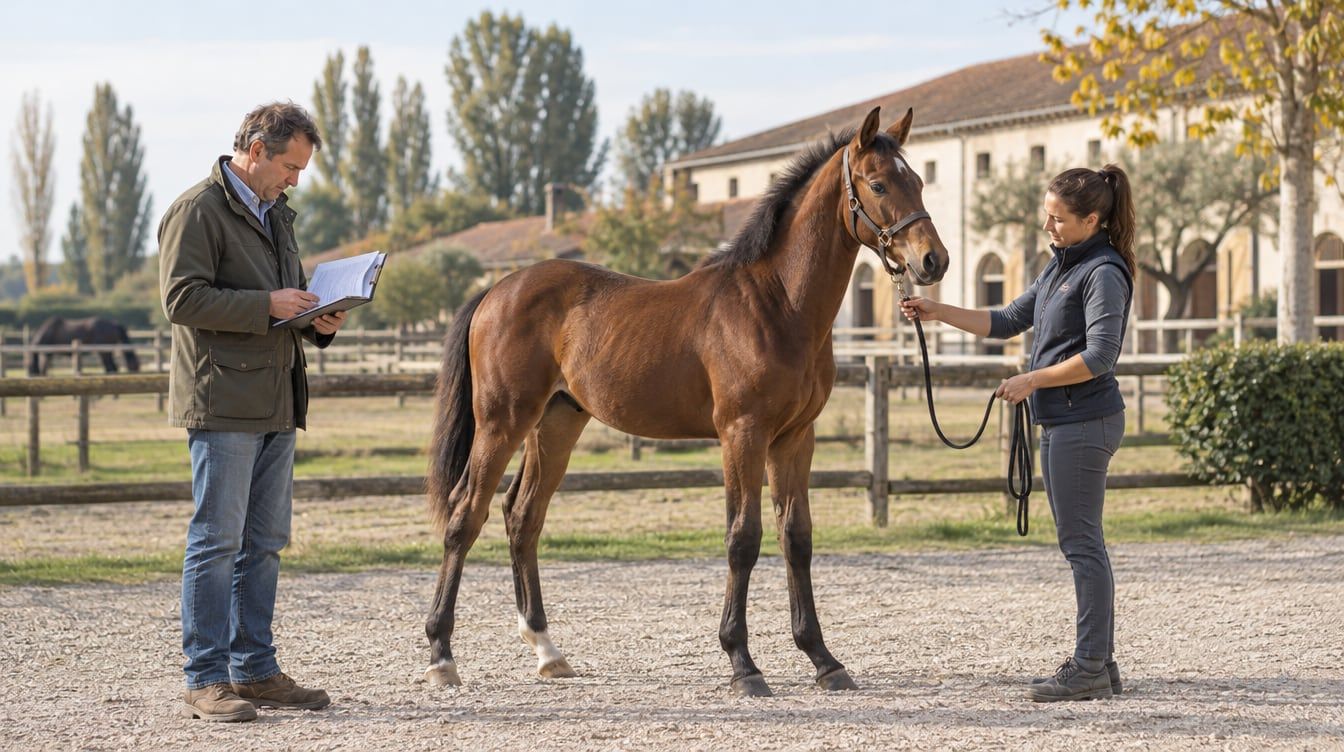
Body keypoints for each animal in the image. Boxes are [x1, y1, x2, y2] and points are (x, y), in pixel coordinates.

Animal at [424, 106, 949, 697]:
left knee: (523, 516)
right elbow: (743, 538)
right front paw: (743, 663)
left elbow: (796, 537)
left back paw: (547, 651)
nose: (933, 261)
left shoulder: (795, 438)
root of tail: (496, 291)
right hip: (502, 421)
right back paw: (442, 656)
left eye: (920, 180)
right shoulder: (742, 434)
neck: (777, 305)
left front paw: (823, 659)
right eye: (878, 184)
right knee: (466, 514)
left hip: (556, 423)